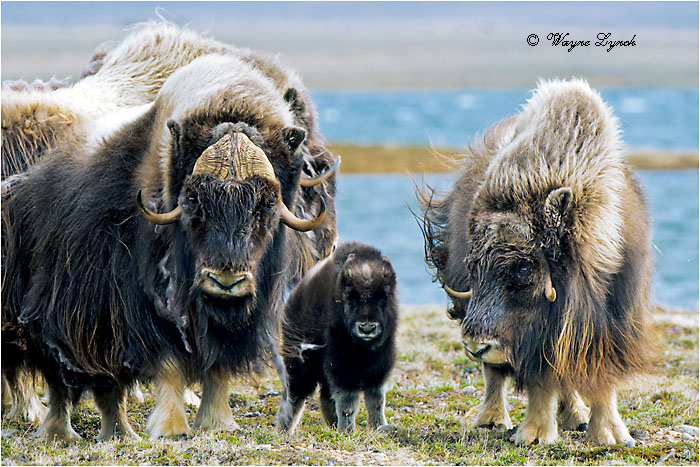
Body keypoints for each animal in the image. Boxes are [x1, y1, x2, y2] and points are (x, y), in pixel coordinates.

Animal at [1, 53, 326, 441]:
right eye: (194, 199)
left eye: (266, 203)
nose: (226, 281)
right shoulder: (146, 307)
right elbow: (169, 364)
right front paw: (171, 429)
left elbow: (217, 370)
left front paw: (215, 423)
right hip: (50, 315)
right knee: (62, 380)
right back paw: (63, 432)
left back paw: (114, 433)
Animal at [274, 241, 398, 433]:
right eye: (350, 296)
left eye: (383, 296)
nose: (367, 328)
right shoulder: (342, 368)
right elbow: (348, 402)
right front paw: (348, 431)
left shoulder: (378, 366)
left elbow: (376, 399)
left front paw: (379, 426)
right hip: (299, 366)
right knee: (294, 396)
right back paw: (284, 429)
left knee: (325, 396)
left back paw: (332, 425)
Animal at [416, 79, 656, 446]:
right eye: (473, 266)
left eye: (524, 267)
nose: (475, 345)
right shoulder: (531, 336)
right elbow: (539, 381)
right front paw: (534, 436)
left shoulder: (613, 320)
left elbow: (602, 378)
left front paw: (611, 435)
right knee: (495, 375)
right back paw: (490, 421)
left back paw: (576, 417)